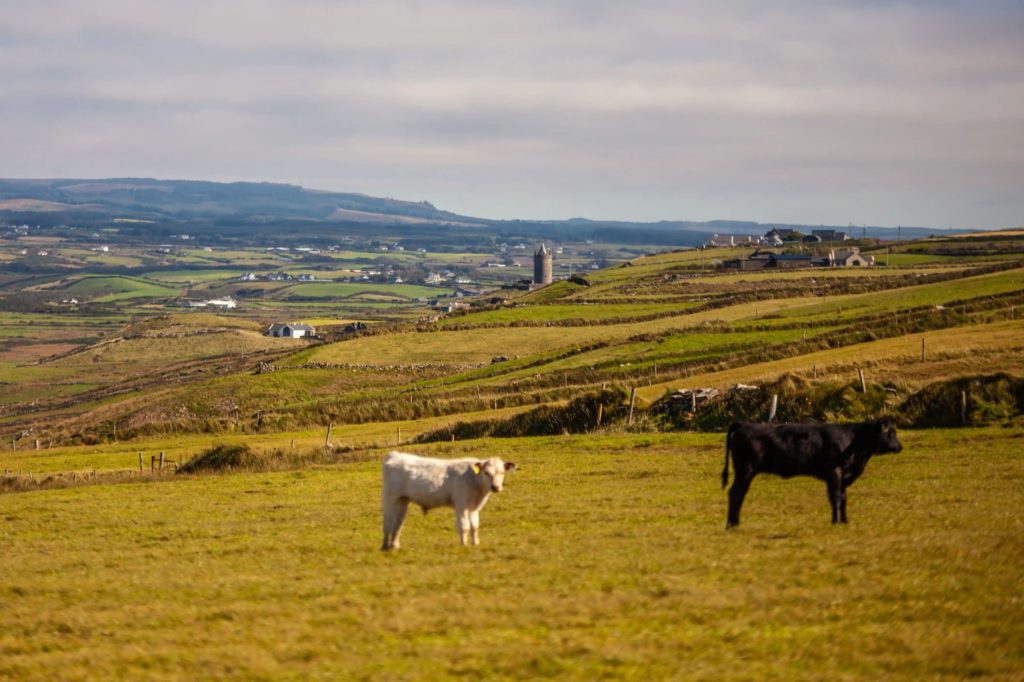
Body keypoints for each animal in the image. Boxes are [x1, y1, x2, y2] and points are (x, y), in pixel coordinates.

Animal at [381, 451, 516, 550]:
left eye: (502, 472)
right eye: (486, 473)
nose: (496, 487)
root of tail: (395, 455)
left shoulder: (474, 508)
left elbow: (475, 526)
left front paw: (475, 543)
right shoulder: (461, 505)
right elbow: (464, 526)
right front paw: (464, 545)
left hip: (402, 500)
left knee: (398, 523)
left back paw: (394, 546)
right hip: (390, 497)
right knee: (388, 521)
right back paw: (385, 546)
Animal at [721, 418, 902, 528]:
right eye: (890, 432)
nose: (899, 447)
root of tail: (744, 424)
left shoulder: (843, 477)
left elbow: (843, 498)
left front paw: (844, 521)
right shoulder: (834, 472)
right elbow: (836, 498)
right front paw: (835, 522)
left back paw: (734, 523)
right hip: (745, 470)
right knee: (736, 494)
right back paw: (732, 524)